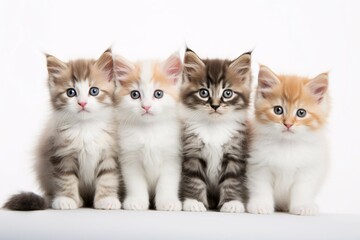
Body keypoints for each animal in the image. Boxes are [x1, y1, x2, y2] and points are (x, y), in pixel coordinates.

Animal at [3, 49, 122, 210]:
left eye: (94, 91)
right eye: (71, 92)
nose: (82, 103)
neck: (85, 127)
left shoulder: (109, 154)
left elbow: (107, 178)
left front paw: (106, 199)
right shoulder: (62, 155)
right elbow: (66, 179)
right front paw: (66, 199)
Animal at [114, 52, 183, 210]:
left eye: (158, 94)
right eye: (135, 94)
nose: (146, 106)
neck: (149, 130)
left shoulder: (172, 157)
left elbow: (167, 183)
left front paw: (167, 202)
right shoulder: (130, 157)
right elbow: (135, 183)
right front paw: (136, 201)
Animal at [179, 48, 252, 212]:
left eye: (227, 93)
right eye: (204, 92)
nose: (215, 105)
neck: (214, 126)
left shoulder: (235, 153)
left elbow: (232, 180)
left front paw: (232, 203)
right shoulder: (193, 152)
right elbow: (194, 179)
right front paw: (194, 202)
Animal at [248, 65, 330, 216]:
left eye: (301, 113)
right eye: (278, 110)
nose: (288, 124)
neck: (287, 144)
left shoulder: (307, 169)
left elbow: (302, 190)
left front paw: (303, 206)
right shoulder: (259, 166)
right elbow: (260, 187)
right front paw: (260, 205)